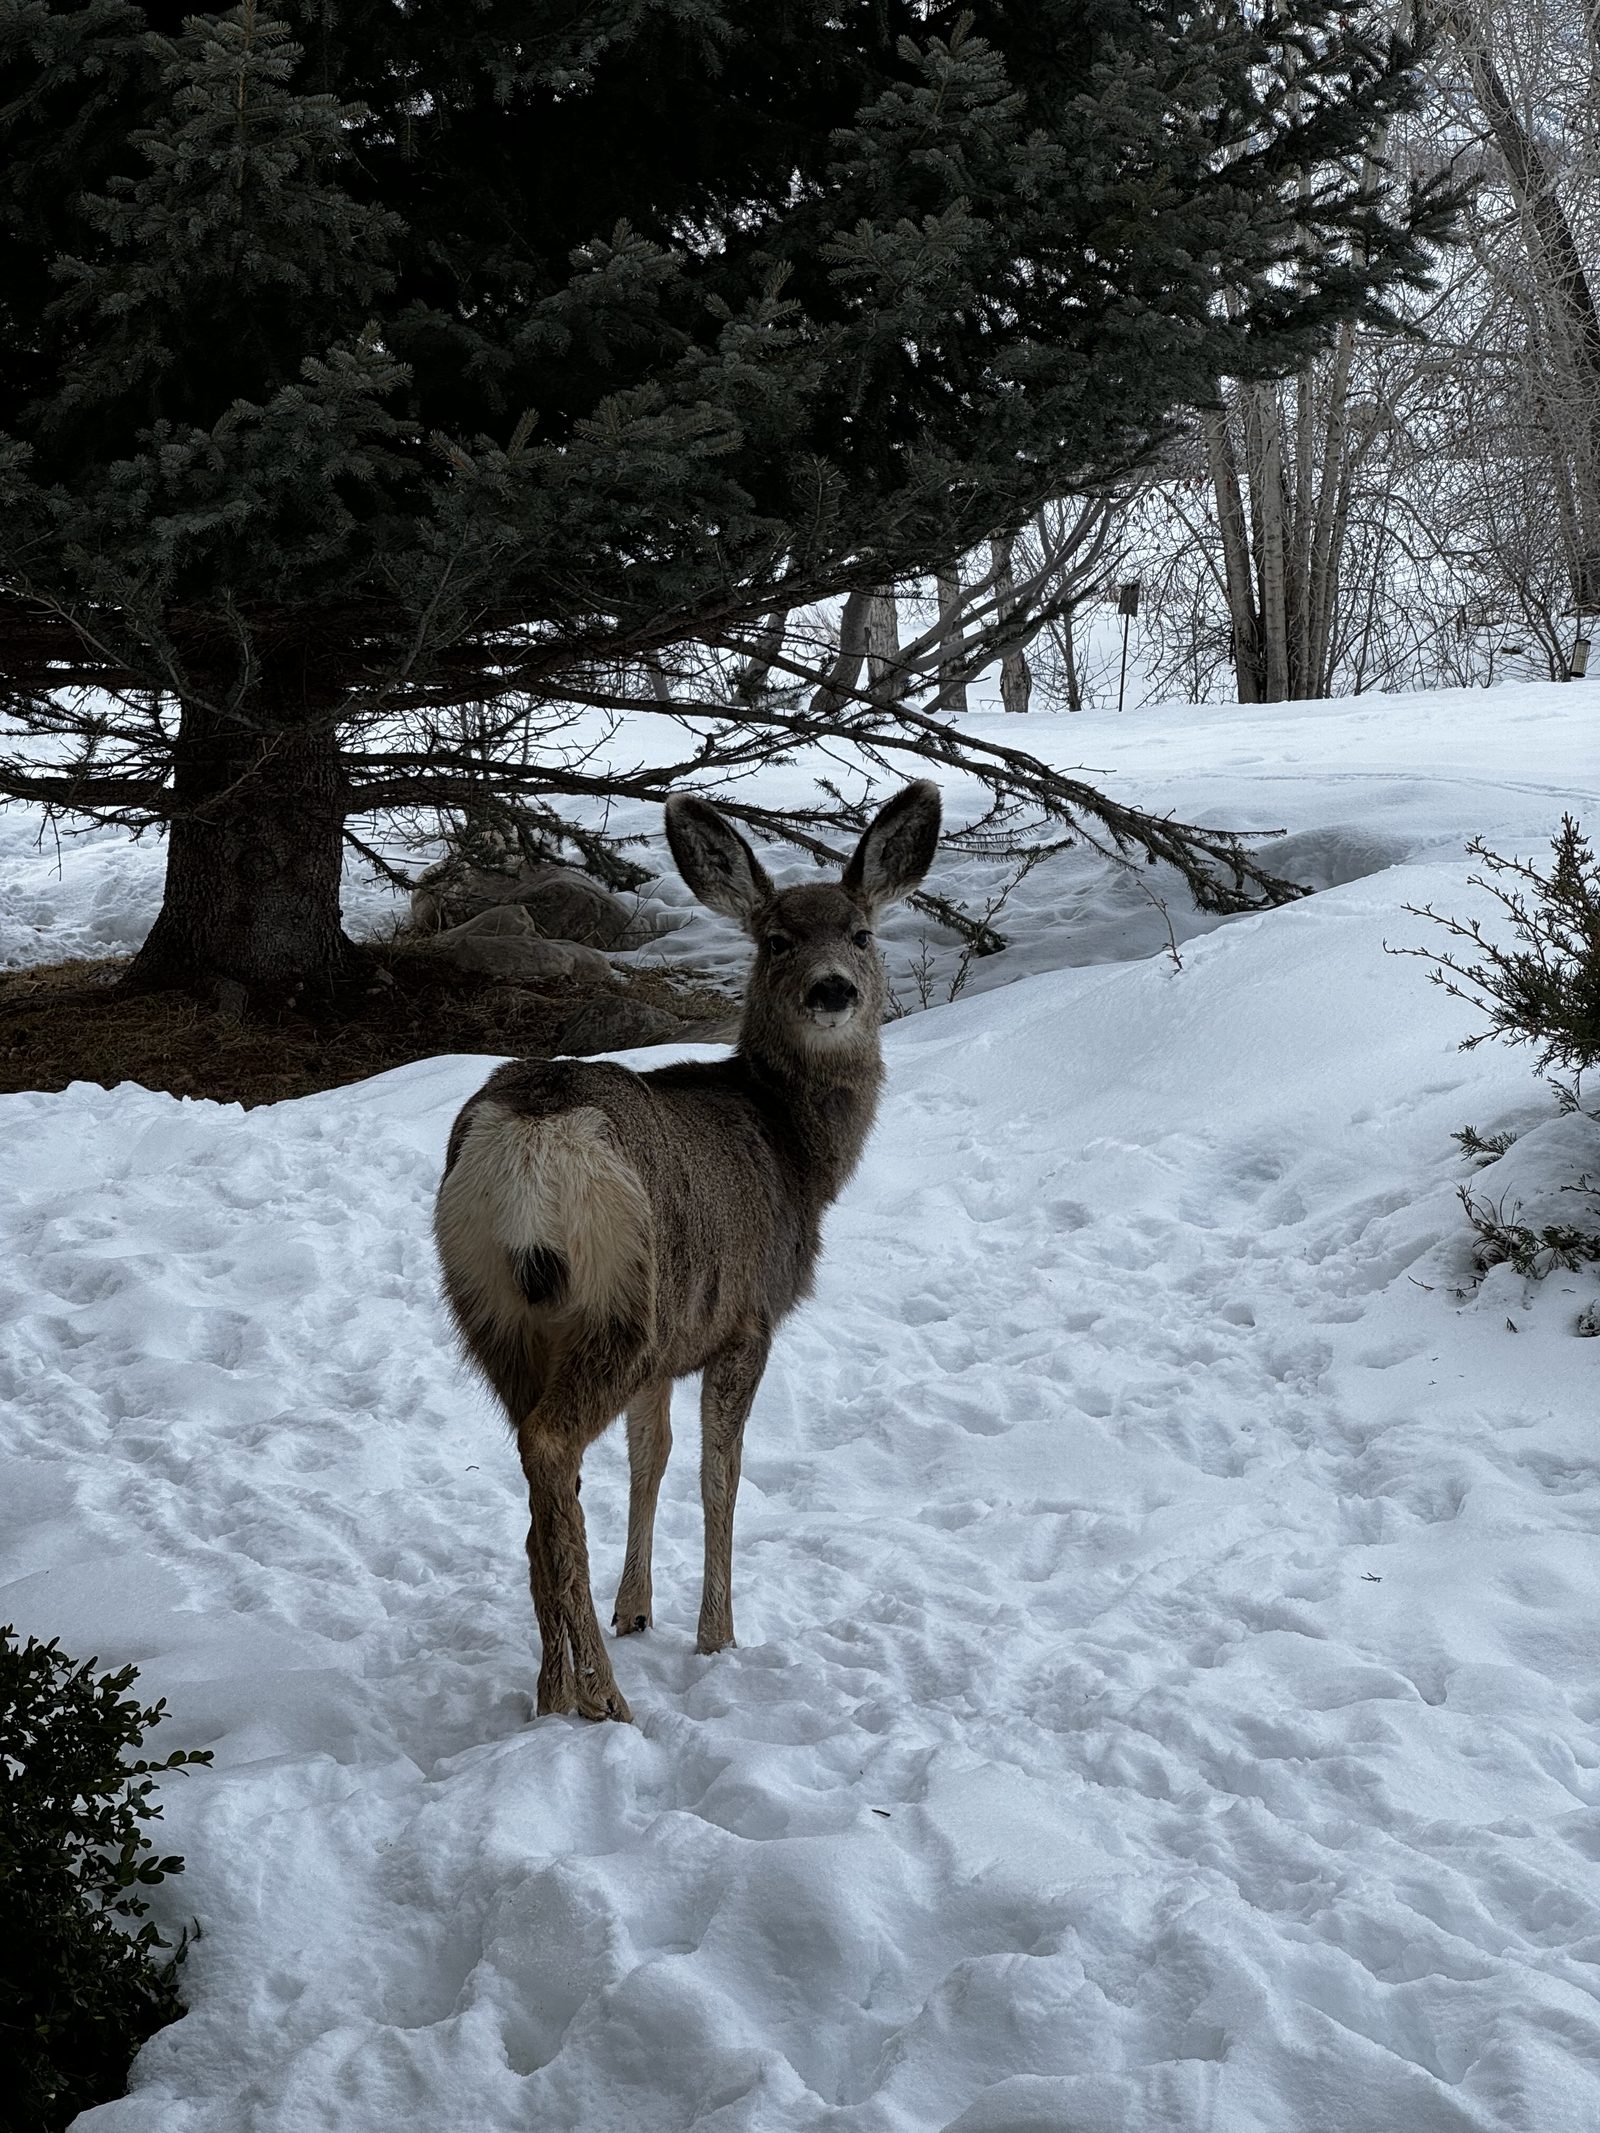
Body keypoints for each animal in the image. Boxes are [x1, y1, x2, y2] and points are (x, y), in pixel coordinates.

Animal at [433, 780, 941, 1721]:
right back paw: (604, 1696)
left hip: (493, 1303)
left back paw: (551, 1688)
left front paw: (638, 1609)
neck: (794, 1152)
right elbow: (718, 1472)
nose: (831, 990)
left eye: (860, 931)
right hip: (622, 1297)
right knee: (552, 1446)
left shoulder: (673, 1349)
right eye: (777, 939)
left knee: (537, 1470)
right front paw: (716, 1635)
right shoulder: (744, 1320)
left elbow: (652, 1456)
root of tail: (533, 1133)